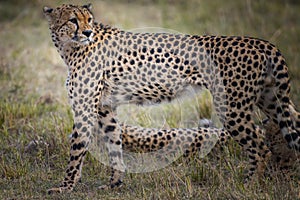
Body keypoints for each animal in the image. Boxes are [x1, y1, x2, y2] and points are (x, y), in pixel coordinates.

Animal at [44, 3, 300, 194]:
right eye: (73, 20)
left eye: (88, 19)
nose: (87, 32)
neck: (70, 48)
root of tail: (262, 42)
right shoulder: (105, 107)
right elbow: (114, 143)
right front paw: (114, 182)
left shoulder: (86, 108)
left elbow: (77, 149)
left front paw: (64, 187)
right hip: (273, 101)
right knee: (291, 126)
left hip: (232, 107)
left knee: (259, 143)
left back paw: (249, 185)